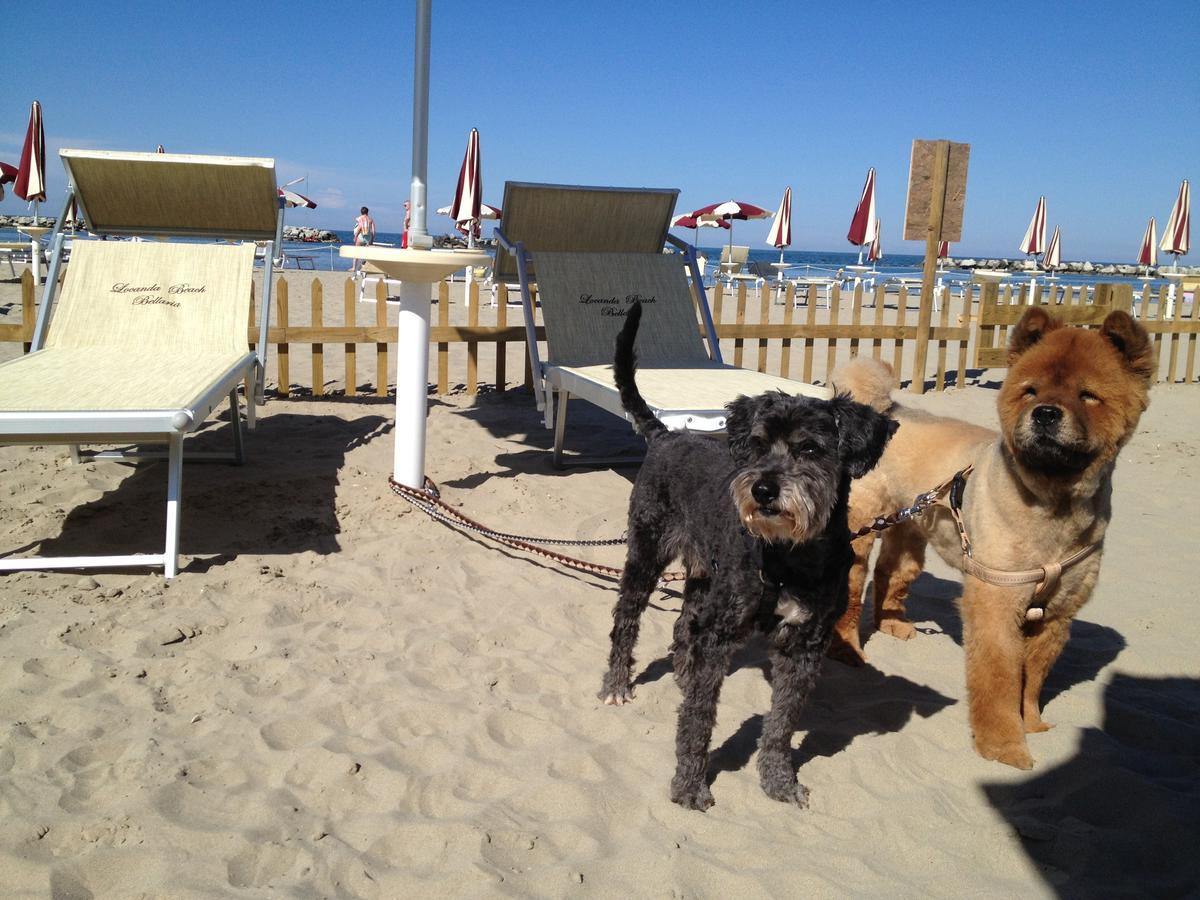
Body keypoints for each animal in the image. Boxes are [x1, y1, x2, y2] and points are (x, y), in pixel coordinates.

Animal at [595, 301, 897, 811]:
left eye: (810, 448)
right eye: (757, 444)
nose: (763, 490)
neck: (788, 555)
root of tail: (667, 436)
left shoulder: (804, 644)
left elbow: (781, 723)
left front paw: (778, 779)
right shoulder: (722, 632)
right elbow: (699, 719)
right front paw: (690, 783)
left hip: (703, 574)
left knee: (685, 625)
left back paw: (683, 673)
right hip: (646, 553)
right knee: (626, 620)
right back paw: (618, 684)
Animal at [825, 309, 1152, 768]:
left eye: (1088, 395)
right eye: (1030, 391)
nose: (1045, 414)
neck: (1053, 506)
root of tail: (887, 409)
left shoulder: (1056, 614)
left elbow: (1032, 679)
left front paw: (1033, 723)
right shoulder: (997, 602)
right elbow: (999, 681)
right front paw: (1004, 747)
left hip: (912, 529)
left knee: (892, 574)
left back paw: (893, 625)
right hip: (861, 531)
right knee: (853, 592)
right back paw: (848, 650)